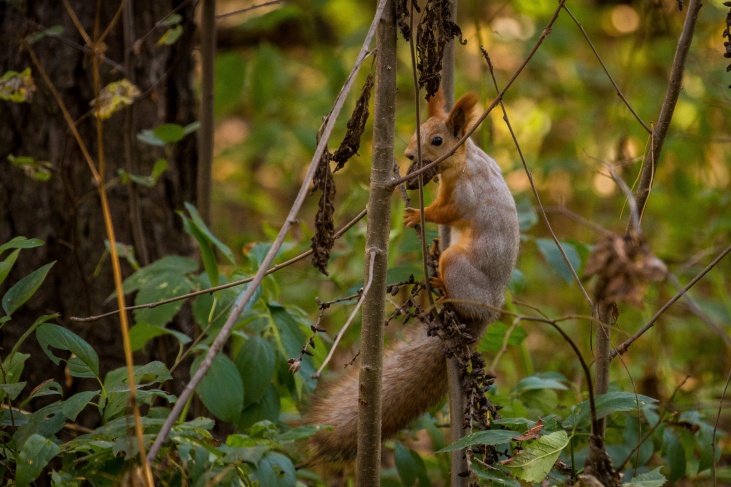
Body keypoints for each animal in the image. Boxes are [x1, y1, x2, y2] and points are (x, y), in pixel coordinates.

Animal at [306, 90, 524, 466]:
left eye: (437, 140)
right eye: (416, 131)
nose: (408, 155)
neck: (463, 160)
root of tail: (489, 312)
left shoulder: (463, 193)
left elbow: (448, 211)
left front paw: (416, 214)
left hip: (459, 267)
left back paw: (441, 287)